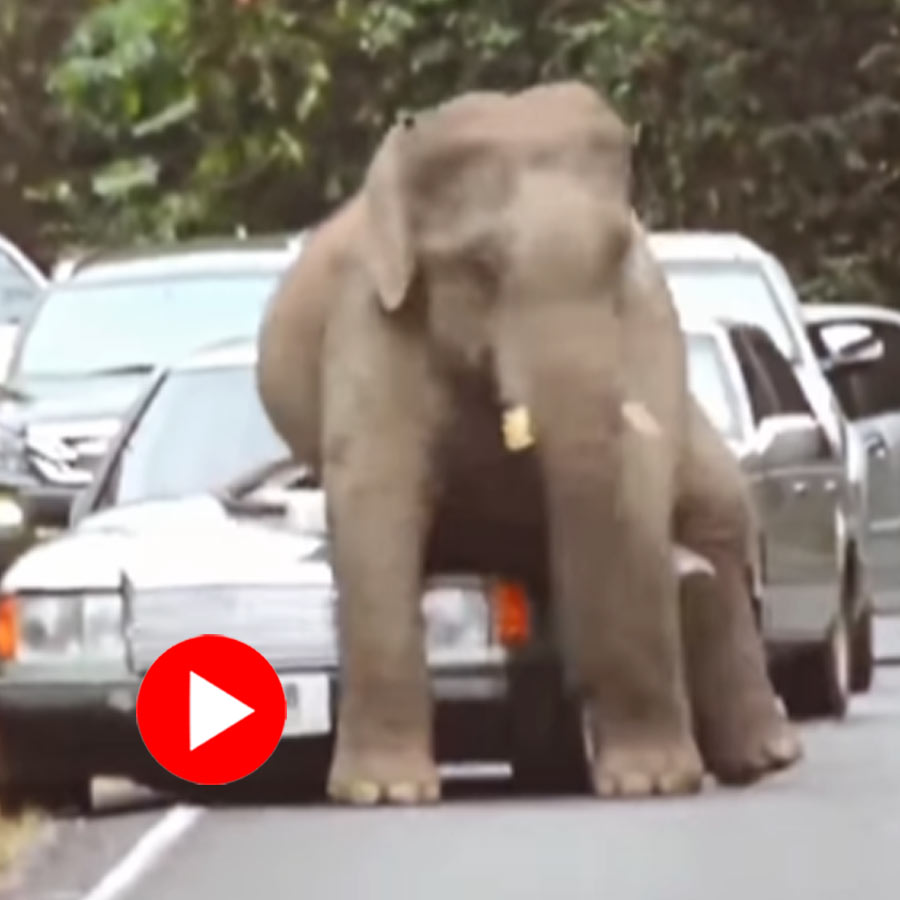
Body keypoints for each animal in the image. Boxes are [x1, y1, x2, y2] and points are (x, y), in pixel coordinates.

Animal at [256, 80, 802, 804]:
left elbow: (633, 485)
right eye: (481, 267)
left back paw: (765, 757)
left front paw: (651, 783)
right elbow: (377, 504)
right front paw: (386, 793)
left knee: (720, 515)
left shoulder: (646, 308)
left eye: (617, 253)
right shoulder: (372, 321)